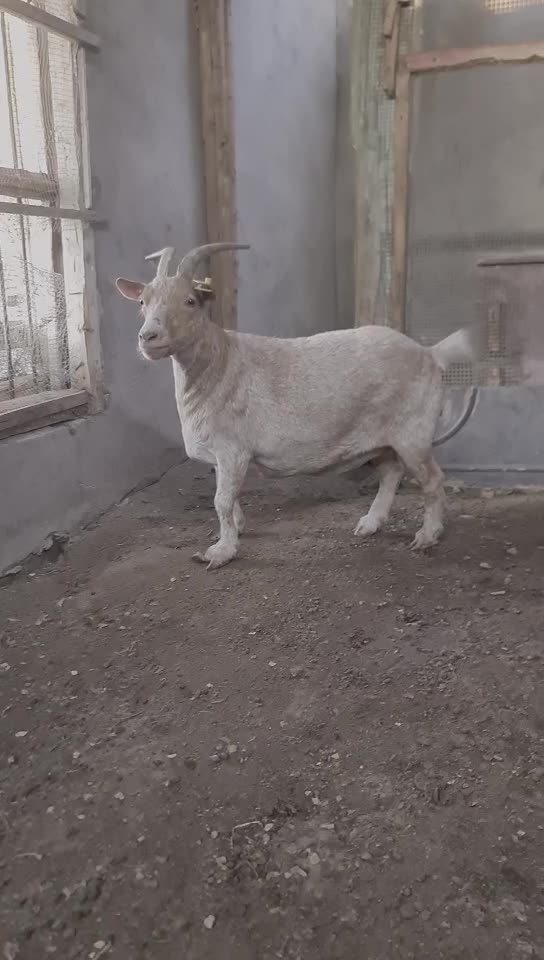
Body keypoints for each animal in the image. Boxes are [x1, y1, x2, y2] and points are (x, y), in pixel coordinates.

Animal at [116, 243, 479, 570]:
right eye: (142, 302)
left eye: (190, 301)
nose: (148, 337)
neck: (219, 363)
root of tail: (430, 353)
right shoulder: (222, 455)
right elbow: (227, 498)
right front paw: (237, 529)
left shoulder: (233, 449)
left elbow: (220, 501)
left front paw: (221, 552)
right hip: (384, 436)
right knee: (391, 473)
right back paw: (370, 523)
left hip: (413, 432)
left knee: (432, 480)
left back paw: (427, 536)